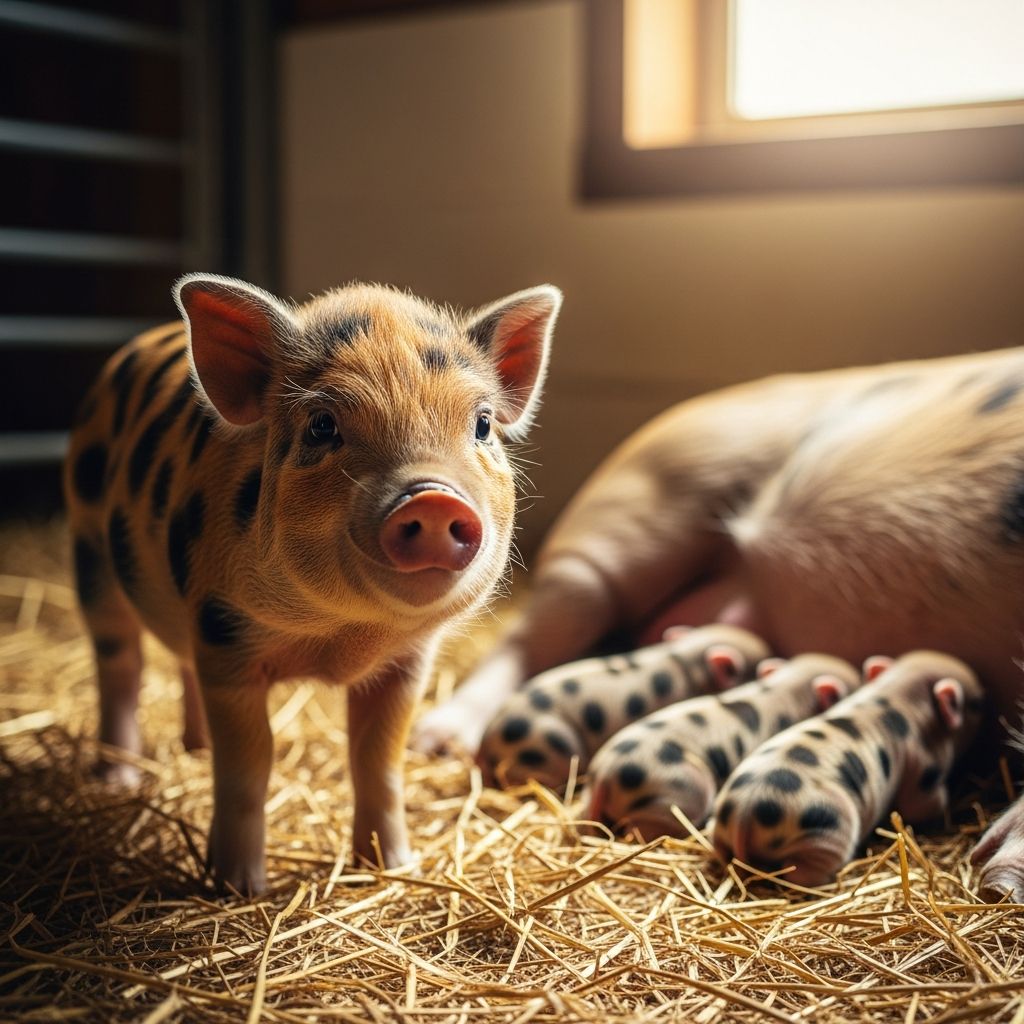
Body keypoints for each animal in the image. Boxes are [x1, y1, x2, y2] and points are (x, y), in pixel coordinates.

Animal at [64, 273, 561, 894]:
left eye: (484, 424)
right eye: (322, 425)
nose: (434, 498)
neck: (342, 636)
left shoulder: (406, 664)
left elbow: (379, 758)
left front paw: (393, 866)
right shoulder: (225, 637)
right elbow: (250, 761)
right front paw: (239, 888)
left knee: (176, 662)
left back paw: (194, 750)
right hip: (90, 547)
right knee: (119, 663)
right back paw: (117, 779)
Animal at [711, 651, 985, 887]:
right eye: (976, 704)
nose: (984, 698)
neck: (897, 693)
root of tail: (744, 815)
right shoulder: (923, 768)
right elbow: (920, 805)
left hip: (722, 832)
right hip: (827, 832)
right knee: (799, 873)